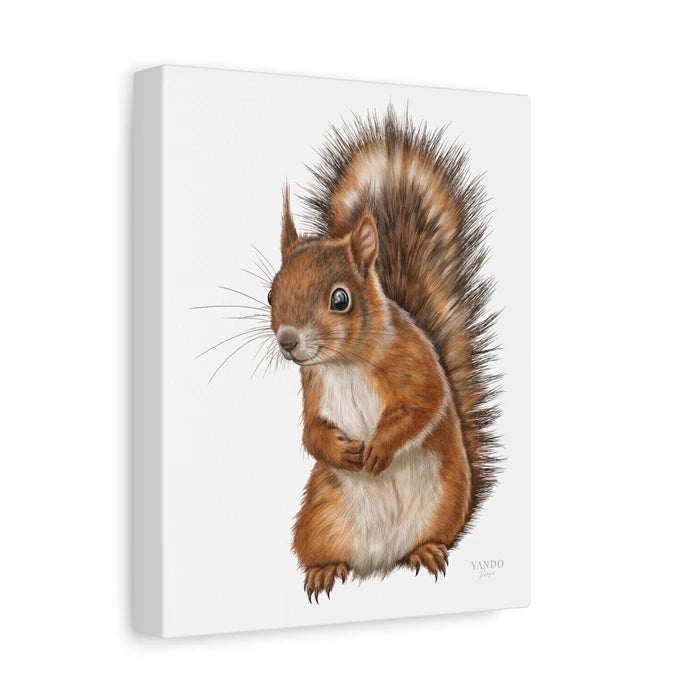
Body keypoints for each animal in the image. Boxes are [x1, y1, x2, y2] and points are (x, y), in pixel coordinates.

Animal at [268, 107, 500, 602]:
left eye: (340, 299)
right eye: (272, 292)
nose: (288, 341)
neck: (344, 363)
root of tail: (382, 562)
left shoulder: (413, 360)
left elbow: (425, 403)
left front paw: (379, 448)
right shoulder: (313, 385)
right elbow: (311, 431)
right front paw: (338, 450)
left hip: (444, 501)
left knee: (434, 536)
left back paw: (425, 551)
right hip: (321, 516)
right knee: (321, 549)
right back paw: (324, 569)